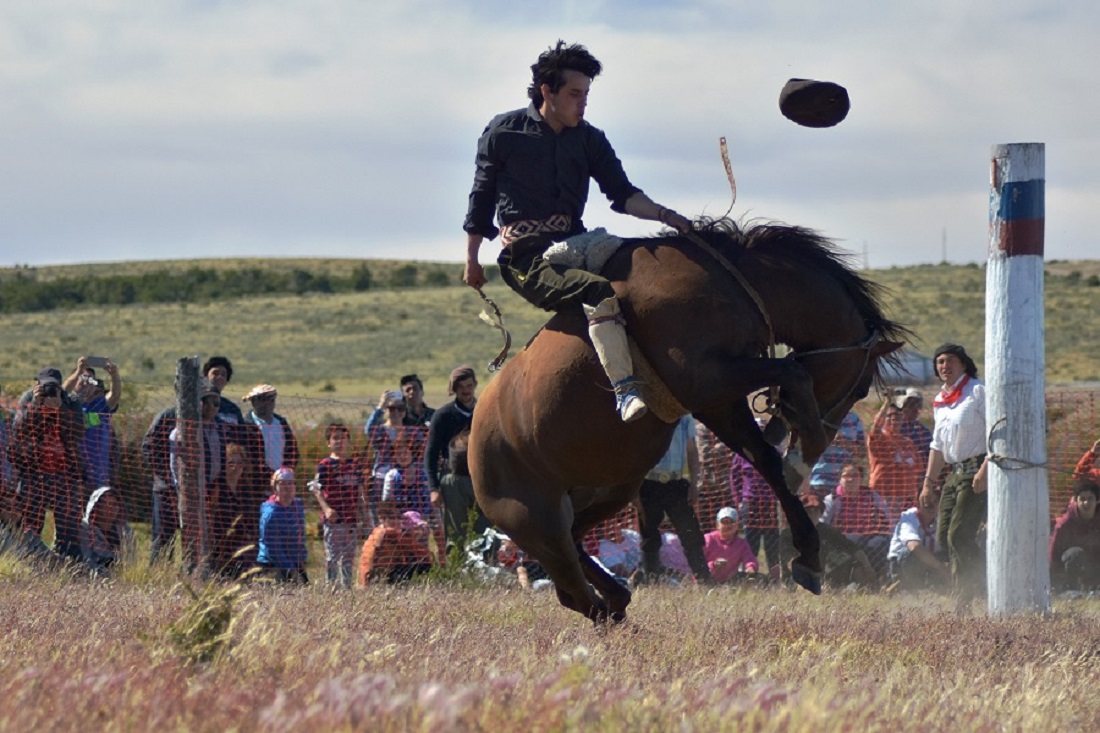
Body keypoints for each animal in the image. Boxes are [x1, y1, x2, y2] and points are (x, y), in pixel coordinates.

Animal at [468, 217, 906, 620]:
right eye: (862, 389)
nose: (827, 438)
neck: (735, 285)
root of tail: (476, 442)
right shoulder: (705, 381)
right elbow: (792, 373)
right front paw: (802, 455)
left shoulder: (718, 402)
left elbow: (767, 460)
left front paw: (809, 557)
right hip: (537, 522)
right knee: (572, 590)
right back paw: (612, 605)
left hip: (609, 494)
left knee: (577, 549)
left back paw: (618, 596)